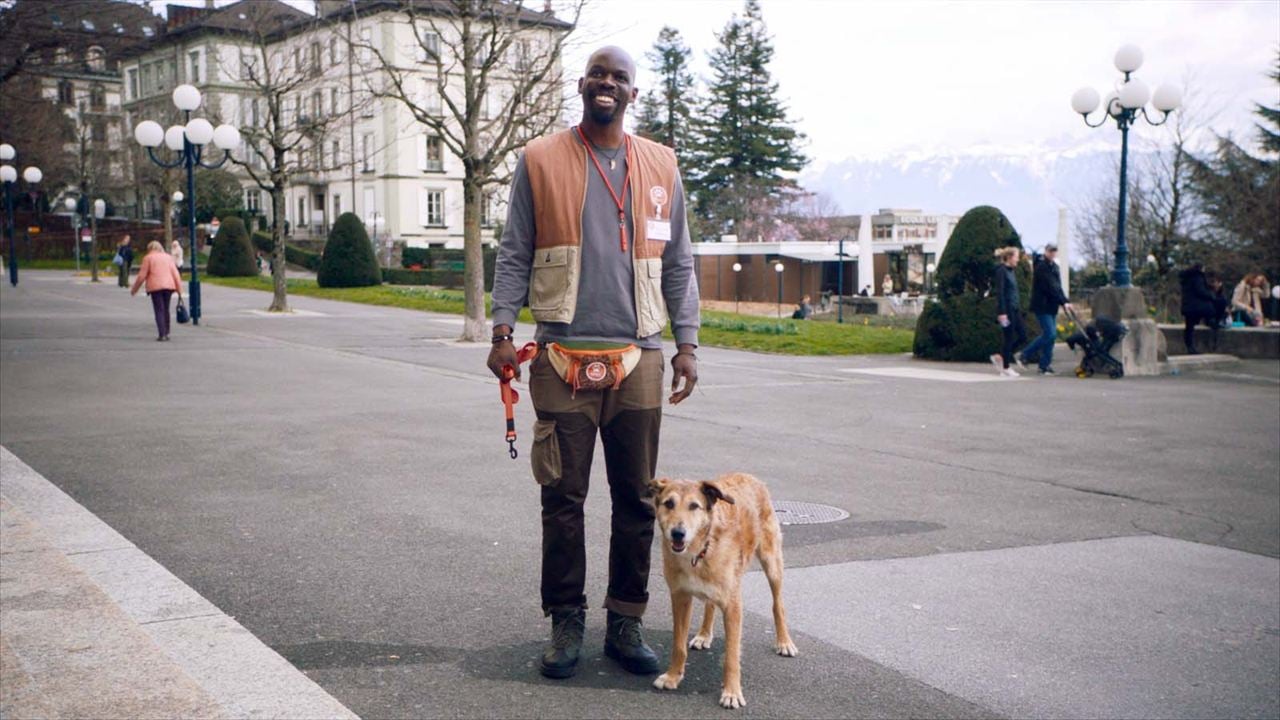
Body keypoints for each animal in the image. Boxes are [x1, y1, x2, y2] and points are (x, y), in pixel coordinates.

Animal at [650, 471, 798, 707]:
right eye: (669, 504)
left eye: (694, 506)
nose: (678, 533)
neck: (698, 552)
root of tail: (748, 476)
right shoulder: (680, 597)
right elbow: (678, 645)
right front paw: (673, 676)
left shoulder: (733, 607)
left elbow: (731, 656)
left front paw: (732, 692)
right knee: (710, 605)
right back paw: (704, 635)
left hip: (772, 563)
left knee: (778, 605)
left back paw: (784, 642)